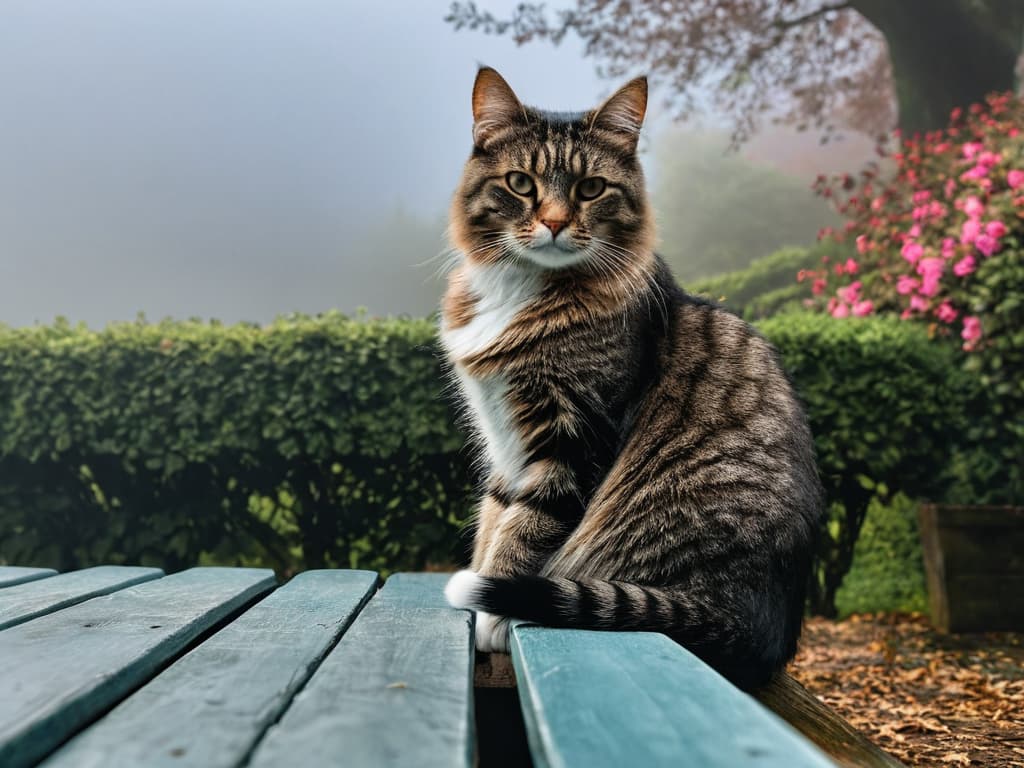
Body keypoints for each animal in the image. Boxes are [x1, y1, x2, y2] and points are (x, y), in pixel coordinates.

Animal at [440, 67, 823, 692]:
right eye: (520, 183)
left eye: (591, 189)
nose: (553, 222)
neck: (525, 290)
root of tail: (757, 627)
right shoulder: (505, 442)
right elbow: (495, 518)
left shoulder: (574, 441)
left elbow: (524, 528)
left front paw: (495, 608)